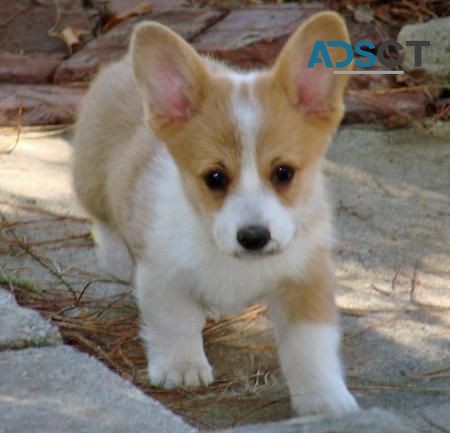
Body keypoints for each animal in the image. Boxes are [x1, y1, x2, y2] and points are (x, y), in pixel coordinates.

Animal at [73, 11, 358, 416]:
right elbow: (174, 320)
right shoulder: (162, 271)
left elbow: (310, 347)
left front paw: (325, 399)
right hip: (91, 180)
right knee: (105, 225)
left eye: (284, 172)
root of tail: (119, 65)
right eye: (215, 177)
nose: (254, 237)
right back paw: (116, 256)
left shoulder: (306, 277)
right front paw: (181, 366)